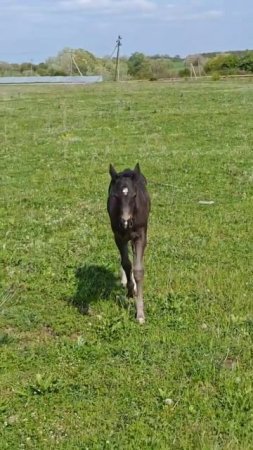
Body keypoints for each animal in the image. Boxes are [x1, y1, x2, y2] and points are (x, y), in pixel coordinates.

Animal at [106, 163, 150, 322]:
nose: (125, 222)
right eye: (115, 196)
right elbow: (126, 263)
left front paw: (140, 314)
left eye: (134, 195)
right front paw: (130, 291)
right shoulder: (118, 236)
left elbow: (138, 270)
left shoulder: (141, 236)